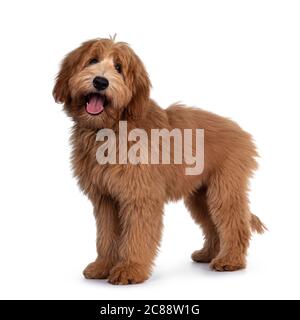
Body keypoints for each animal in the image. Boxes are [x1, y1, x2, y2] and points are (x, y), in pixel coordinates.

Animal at [53, 37, 264, 284]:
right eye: (92, 60)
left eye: (119, 68)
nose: (100, 81)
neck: (114, 127)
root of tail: (242, 132)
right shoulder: (105, 199)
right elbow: (106, 236)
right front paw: (103, 266)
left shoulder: (140, 196)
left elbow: (137, 235)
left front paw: (131, 269)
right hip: (200, 195)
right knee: (213, 225)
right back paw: (208, 253)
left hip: (224, 189)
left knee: (234, 223)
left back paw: (230, 260)